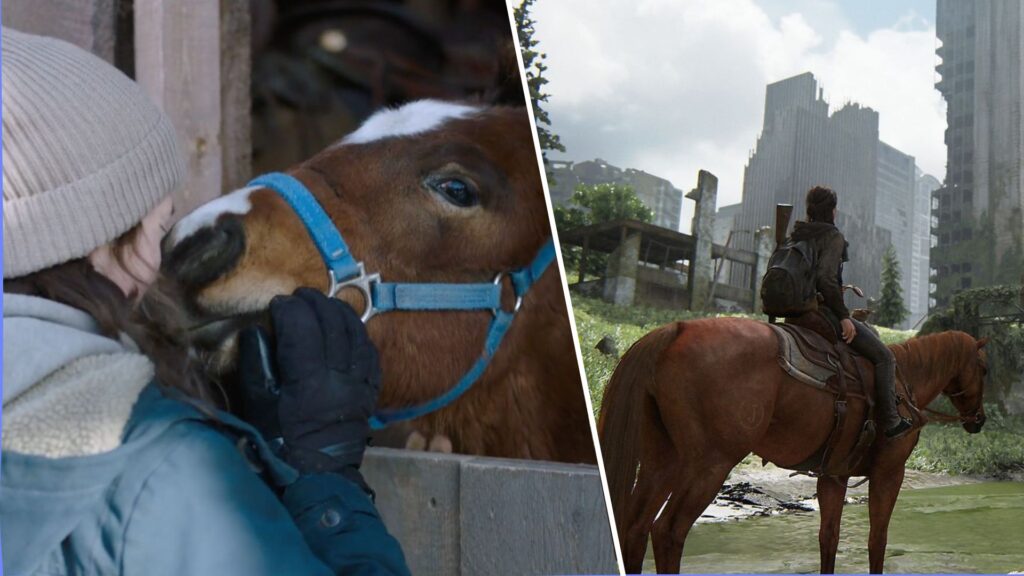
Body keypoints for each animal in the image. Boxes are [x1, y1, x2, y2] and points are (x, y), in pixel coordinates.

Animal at [598, 315, 987, 569]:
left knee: (633, 528)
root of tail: (676, 329)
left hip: (662, 461)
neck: (904, 380)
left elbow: (829, 538)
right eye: (984, 369)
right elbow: (877, 541)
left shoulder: (834, 476)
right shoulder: (890, 473)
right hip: (709, 465)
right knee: (667, 532)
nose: (979, 420)